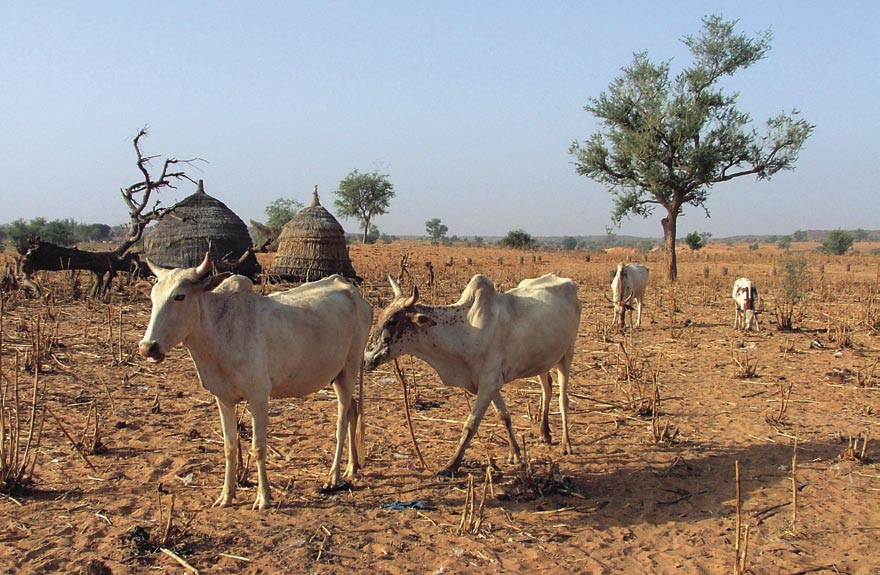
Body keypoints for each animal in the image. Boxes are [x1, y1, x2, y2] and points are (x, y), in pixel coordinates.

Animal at [138, 254, 372, 510]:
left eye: (179, 296)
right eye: (153, 297)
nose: (148, 347)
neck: (219, 330)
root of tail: (355, 294)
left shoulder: (259, 396)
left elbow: (258, 447)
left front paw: (264, 497)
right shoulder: (223, 399)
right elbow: (230, 446)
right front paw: (226, 496)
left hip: (349, 369)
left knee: (342, 420)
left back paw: (333, 476)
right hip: (337, 376)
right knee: (353, 410)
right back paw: (352, 467)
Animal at [360, 274, 580, 476]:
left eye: (392, 322)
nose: (367, 358)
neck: (464, 332)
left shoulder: (489, 383)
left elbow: (470, 425)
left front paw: (451, 465)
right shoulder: (489, 383)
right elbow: (504, 416)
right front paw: (516, 454)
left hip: (567, 355)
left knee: (563, 399)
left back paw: (566, 444)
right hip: (542, 360)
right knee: (547, 388)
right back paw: (545, 433)